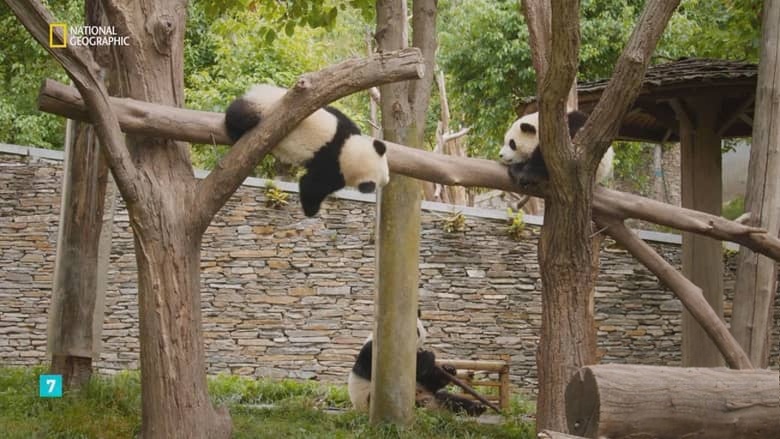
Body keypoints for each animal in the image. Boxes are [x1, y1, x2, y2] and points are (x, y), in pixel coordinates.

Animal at [225, 84, 390, 217]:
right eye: (381, 182)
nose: (388, 181)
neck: (345, 148)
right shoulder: (332, 166)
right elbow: (311, 186)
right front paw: (311, 211)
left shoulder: (344, 127)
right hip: (262, 106)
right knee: (240, 115)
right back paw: (235, 130)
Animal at [347, 317, 486, 416]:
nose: (419, 350)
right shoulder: (375, 351)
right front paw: (428, 355)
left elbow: (428, 380)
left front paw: (448, 369)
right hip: (367, 400)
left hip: (433, 396)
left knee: (450, 399)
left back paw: (478, 408)